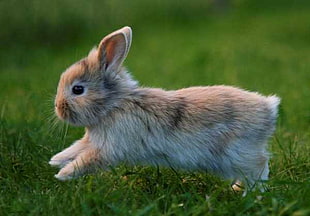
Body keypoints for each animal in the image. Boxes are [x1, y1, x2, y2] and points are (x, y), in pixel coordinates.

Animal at [49, 26, 280, 193]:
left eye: (78, 89)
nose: (58, 107)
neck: (113, 105)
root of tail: (269, 109)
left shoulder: (108, 149)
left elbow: (86, 160)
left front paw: (62, 175)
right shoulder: (92, 141)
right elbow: (75, 149)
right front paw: (55, 161)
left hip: (239, 154)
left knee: (259, 167)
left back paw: (248, 194)